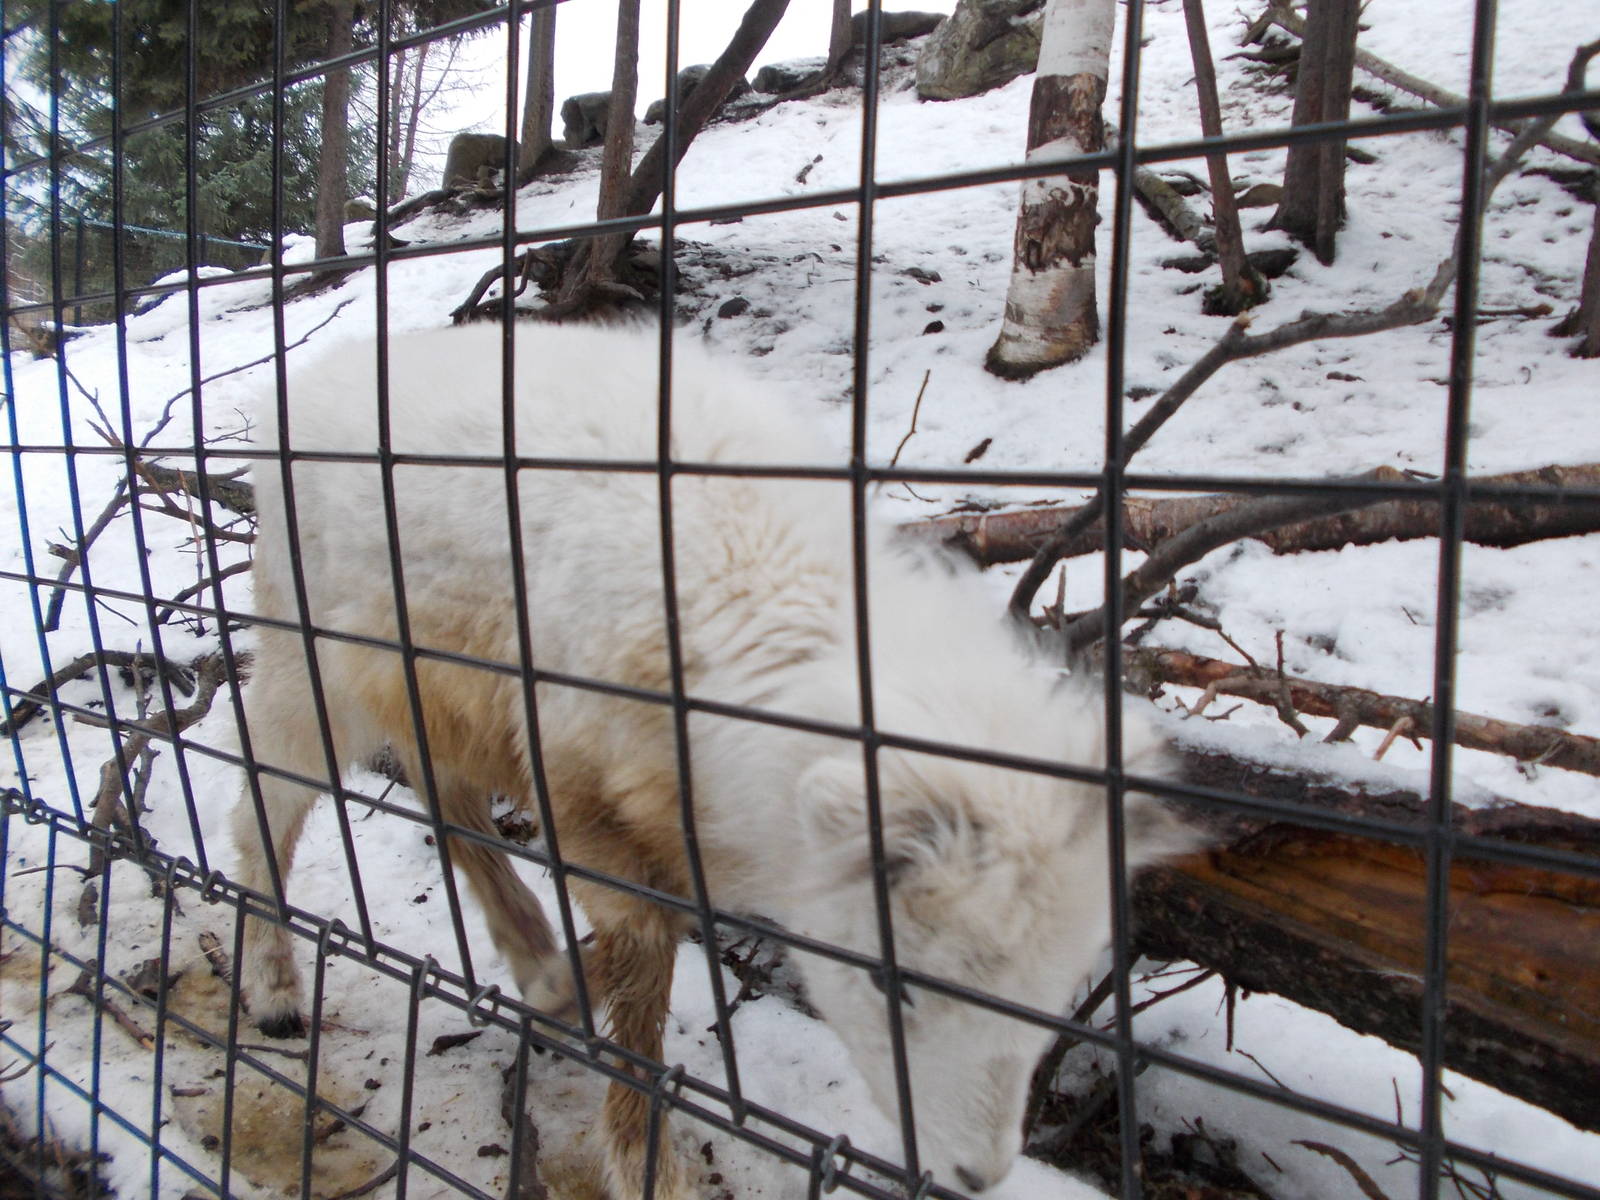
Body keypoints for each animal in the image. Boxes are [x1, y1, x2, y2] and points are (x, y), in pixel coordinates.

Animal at [231, 322, 1181, 1198]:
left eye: (1053, 992)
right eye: (895, 985)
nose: (976, 1174)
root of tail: (303, 382)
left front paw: (565, 988)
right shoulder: (579, 784)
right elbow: (646, 957)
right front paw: (644, 1159)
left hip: (437, 684)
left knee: (445, 795)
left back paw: (532, 955)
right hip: (307, 649)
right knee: (264, 794)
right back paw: (274, 990)